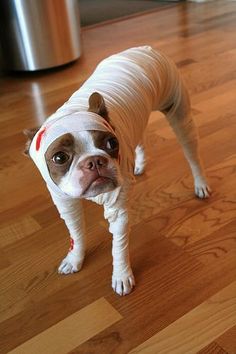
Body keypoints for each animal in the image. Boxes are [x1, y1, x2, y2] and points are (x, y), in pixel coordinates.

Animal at [24, 46, 211, 296]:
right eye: (59, 157)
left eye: (111, 143)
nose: (94, 161)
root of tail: (142, 48)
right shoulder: (65, 202)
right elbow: (76, 232)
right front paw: (75, 258)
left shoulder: (117, 210)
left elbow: (118, 247)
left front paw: (121, 276)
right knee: (140, 139)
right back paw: (139, 165)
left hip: (178, 112)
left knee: (192, 155)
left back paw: (200, 183)